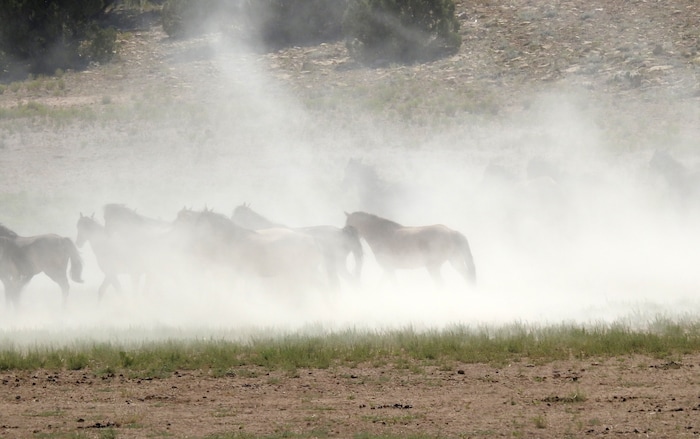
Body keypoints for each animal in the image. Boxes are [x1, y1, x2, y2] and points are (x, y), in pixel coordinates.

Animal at [344, 211, 476, 288]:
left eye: (348, 223)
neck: (382, 234)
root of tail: (451, 232)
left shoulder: (389, 269)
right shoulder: (388, 269)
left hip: (434, 267)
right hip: (455, 261)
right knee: (467, 278)